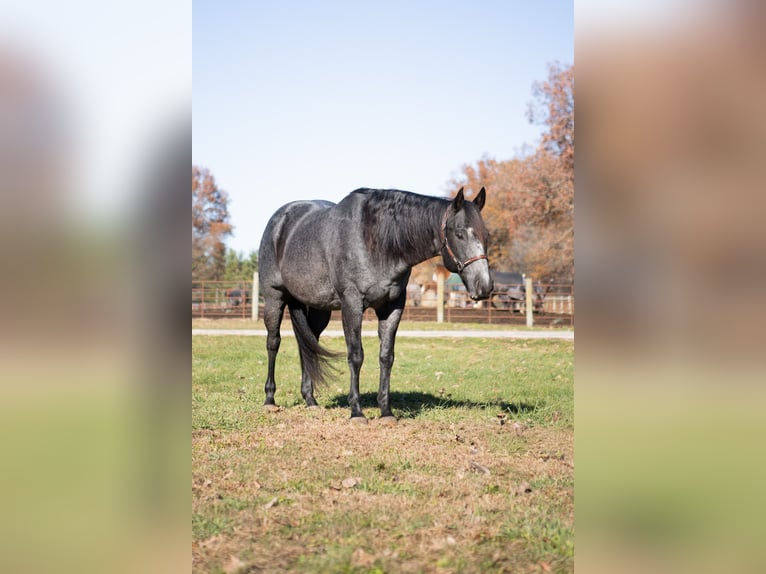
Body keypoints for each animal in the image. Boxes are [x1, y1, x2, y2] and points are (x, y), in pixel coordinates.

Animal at [258, 187, 493, 422]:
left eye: (487, 234)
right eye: (459, 234)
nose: (484, 287)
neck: (375, 241)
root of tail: (279, 221)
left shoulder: (392, 306)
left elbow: (386, 356)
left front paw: (386, 411)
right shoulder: (352, 304)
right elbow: (356, 355)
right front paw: (356, 412)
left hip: (317, 308)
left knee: (308, 344)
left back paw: (310, 400)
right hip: (274, 297)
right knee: (273, 342)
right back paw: (269, 400)